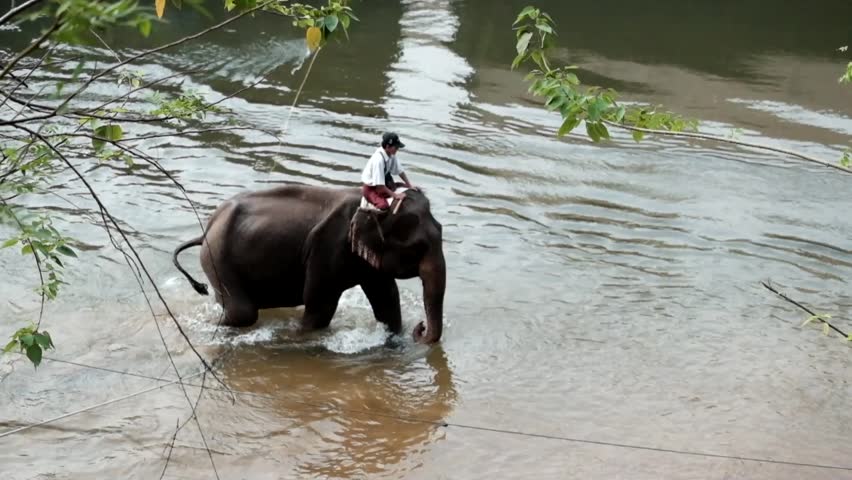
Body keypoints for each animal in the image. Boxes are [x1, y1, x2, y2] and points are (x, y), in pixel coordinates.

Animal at [171, 184, 446, 344]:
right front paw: (298, 337)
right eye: (419, 246)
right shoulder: (328, 249)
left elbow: (387, 299)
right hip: (218, 259)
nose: (420, 326)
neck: (374, 207)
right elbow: (320, 308)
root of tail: (206, 229)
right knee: (242, 313)